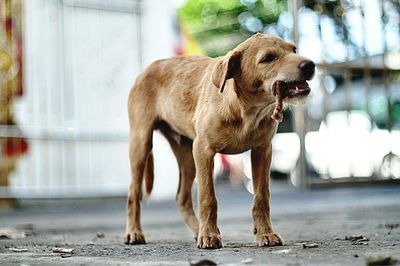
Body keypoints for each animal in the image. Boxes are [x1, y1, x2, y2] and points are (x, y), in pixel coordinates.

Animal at [125, 33, 316, 249]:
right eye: (268, 58)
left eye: (294, 50)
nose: (310, 65)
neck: (246, 111)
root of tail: (147, 69)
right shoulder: (204, 150)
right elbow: (208, 197)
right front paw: (209, 235)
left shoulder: (262, 151)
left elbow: (262, 197)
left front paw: (265, 233)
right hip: (141, 143)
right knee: (134, 193)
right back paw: (134, 232)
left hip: (187, 155)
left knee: (182, 197)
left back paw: (197, 229)